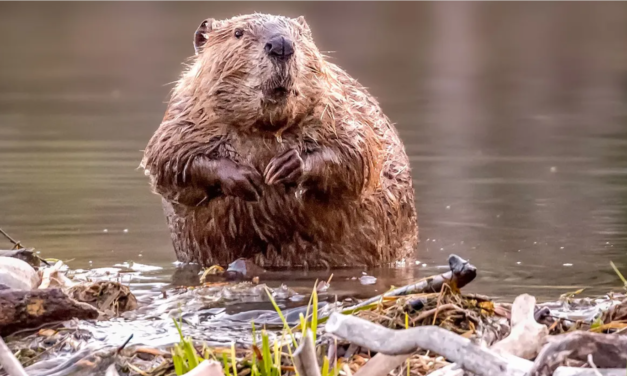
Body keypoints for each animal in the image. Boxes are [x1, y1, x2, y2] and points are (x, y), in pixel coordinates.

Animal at [140, 13, 420, 268]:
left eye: (299, 34)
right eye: (238, 33)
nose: (281, 44)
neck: (265, 128)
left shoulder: (339, 107)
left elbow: (358, 154)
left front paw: (285, 166)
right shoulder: (184, 115)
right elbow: (167, 161)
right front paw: (245, 177)